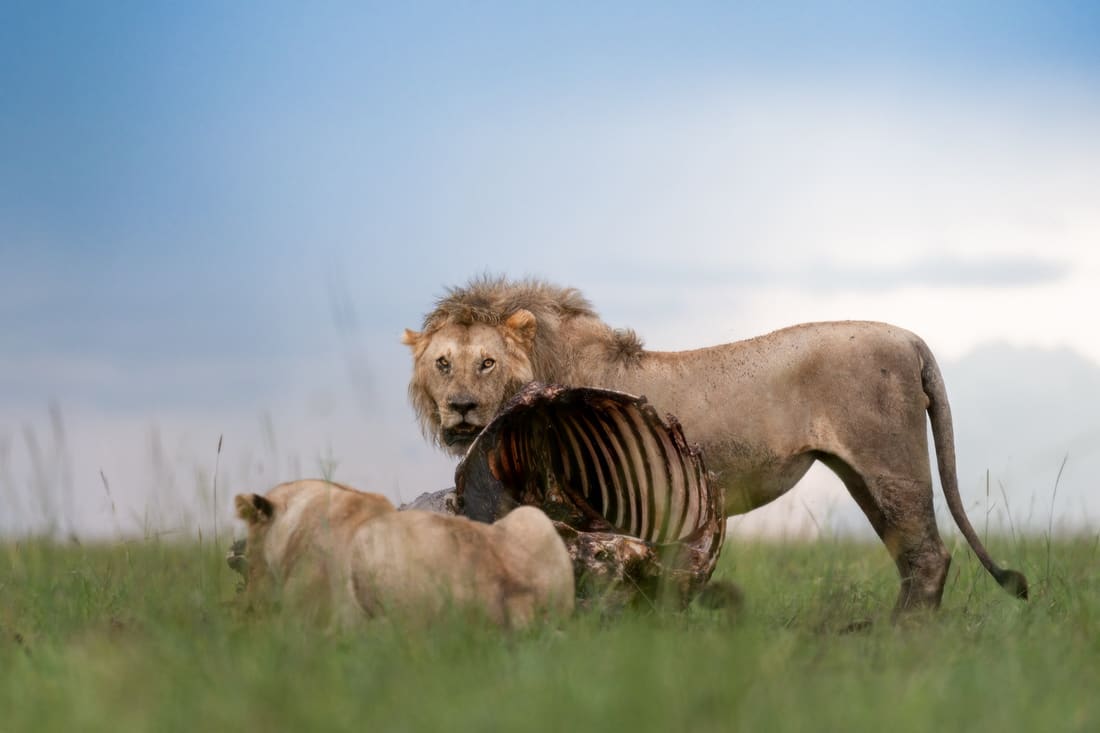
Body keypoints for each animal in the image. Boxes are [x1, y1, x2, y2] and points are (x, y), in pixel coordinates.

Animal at [403, 276, 1028, 615]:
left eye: (485, 362)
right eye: (443, 363)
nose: (461, 407)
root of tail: (912, 338)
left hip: (890, 467)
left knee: (929, 558)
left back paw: (901, 641)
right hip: (864, 478)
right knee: (912, 559)